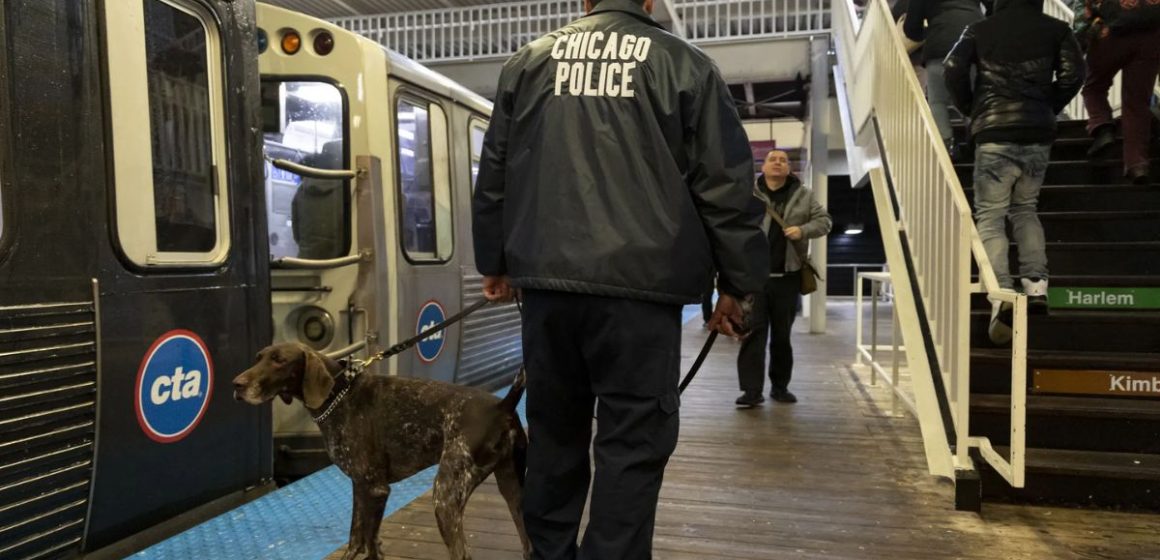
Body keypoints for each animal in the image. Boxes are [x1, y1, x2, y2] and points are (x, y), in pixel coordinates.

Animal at [232, 340, 531, 560]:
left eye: (279, 360)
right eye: (258, 357)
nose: (237, 384)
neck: (338, 395)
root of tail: (502, 406)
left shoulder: (376, 489)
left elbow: (368, 542)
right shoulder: (361, 486)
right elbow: (359, 540)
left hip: (445, 497)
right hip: (512, 489)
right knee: (528, 545)